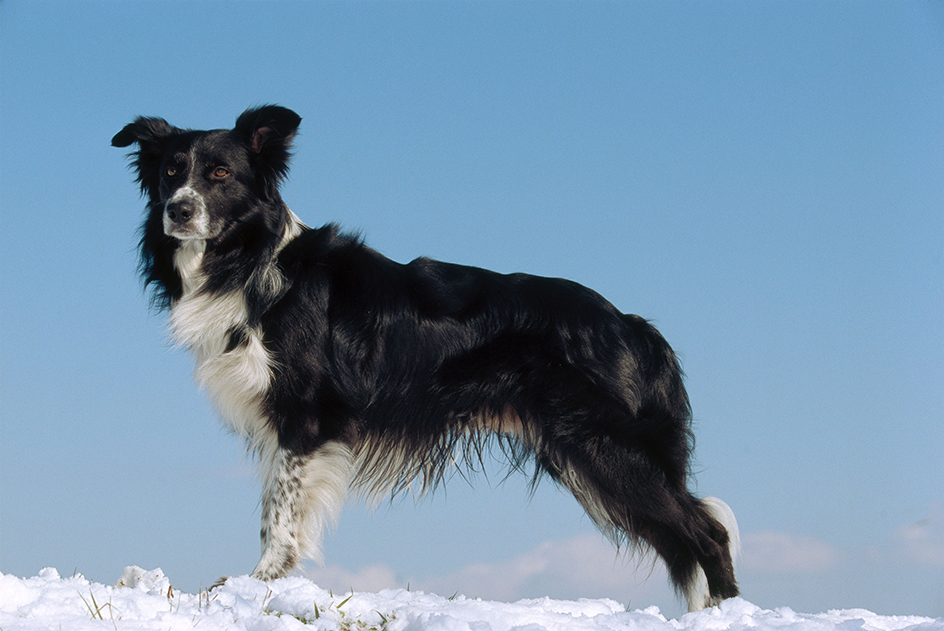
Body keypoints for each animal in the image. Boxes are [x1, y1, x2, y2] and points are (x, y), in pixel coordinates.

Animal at [114, 106, 740, 608]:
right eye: (171, 172)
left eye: (220, 174)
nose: (178, 211)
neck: (249, 260)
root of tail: (632, 324)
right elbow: (274, 504)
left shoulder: (306, 416)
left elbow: (280, 513)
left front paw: (258, 582)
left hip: (607, 445)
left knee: (708, 531)